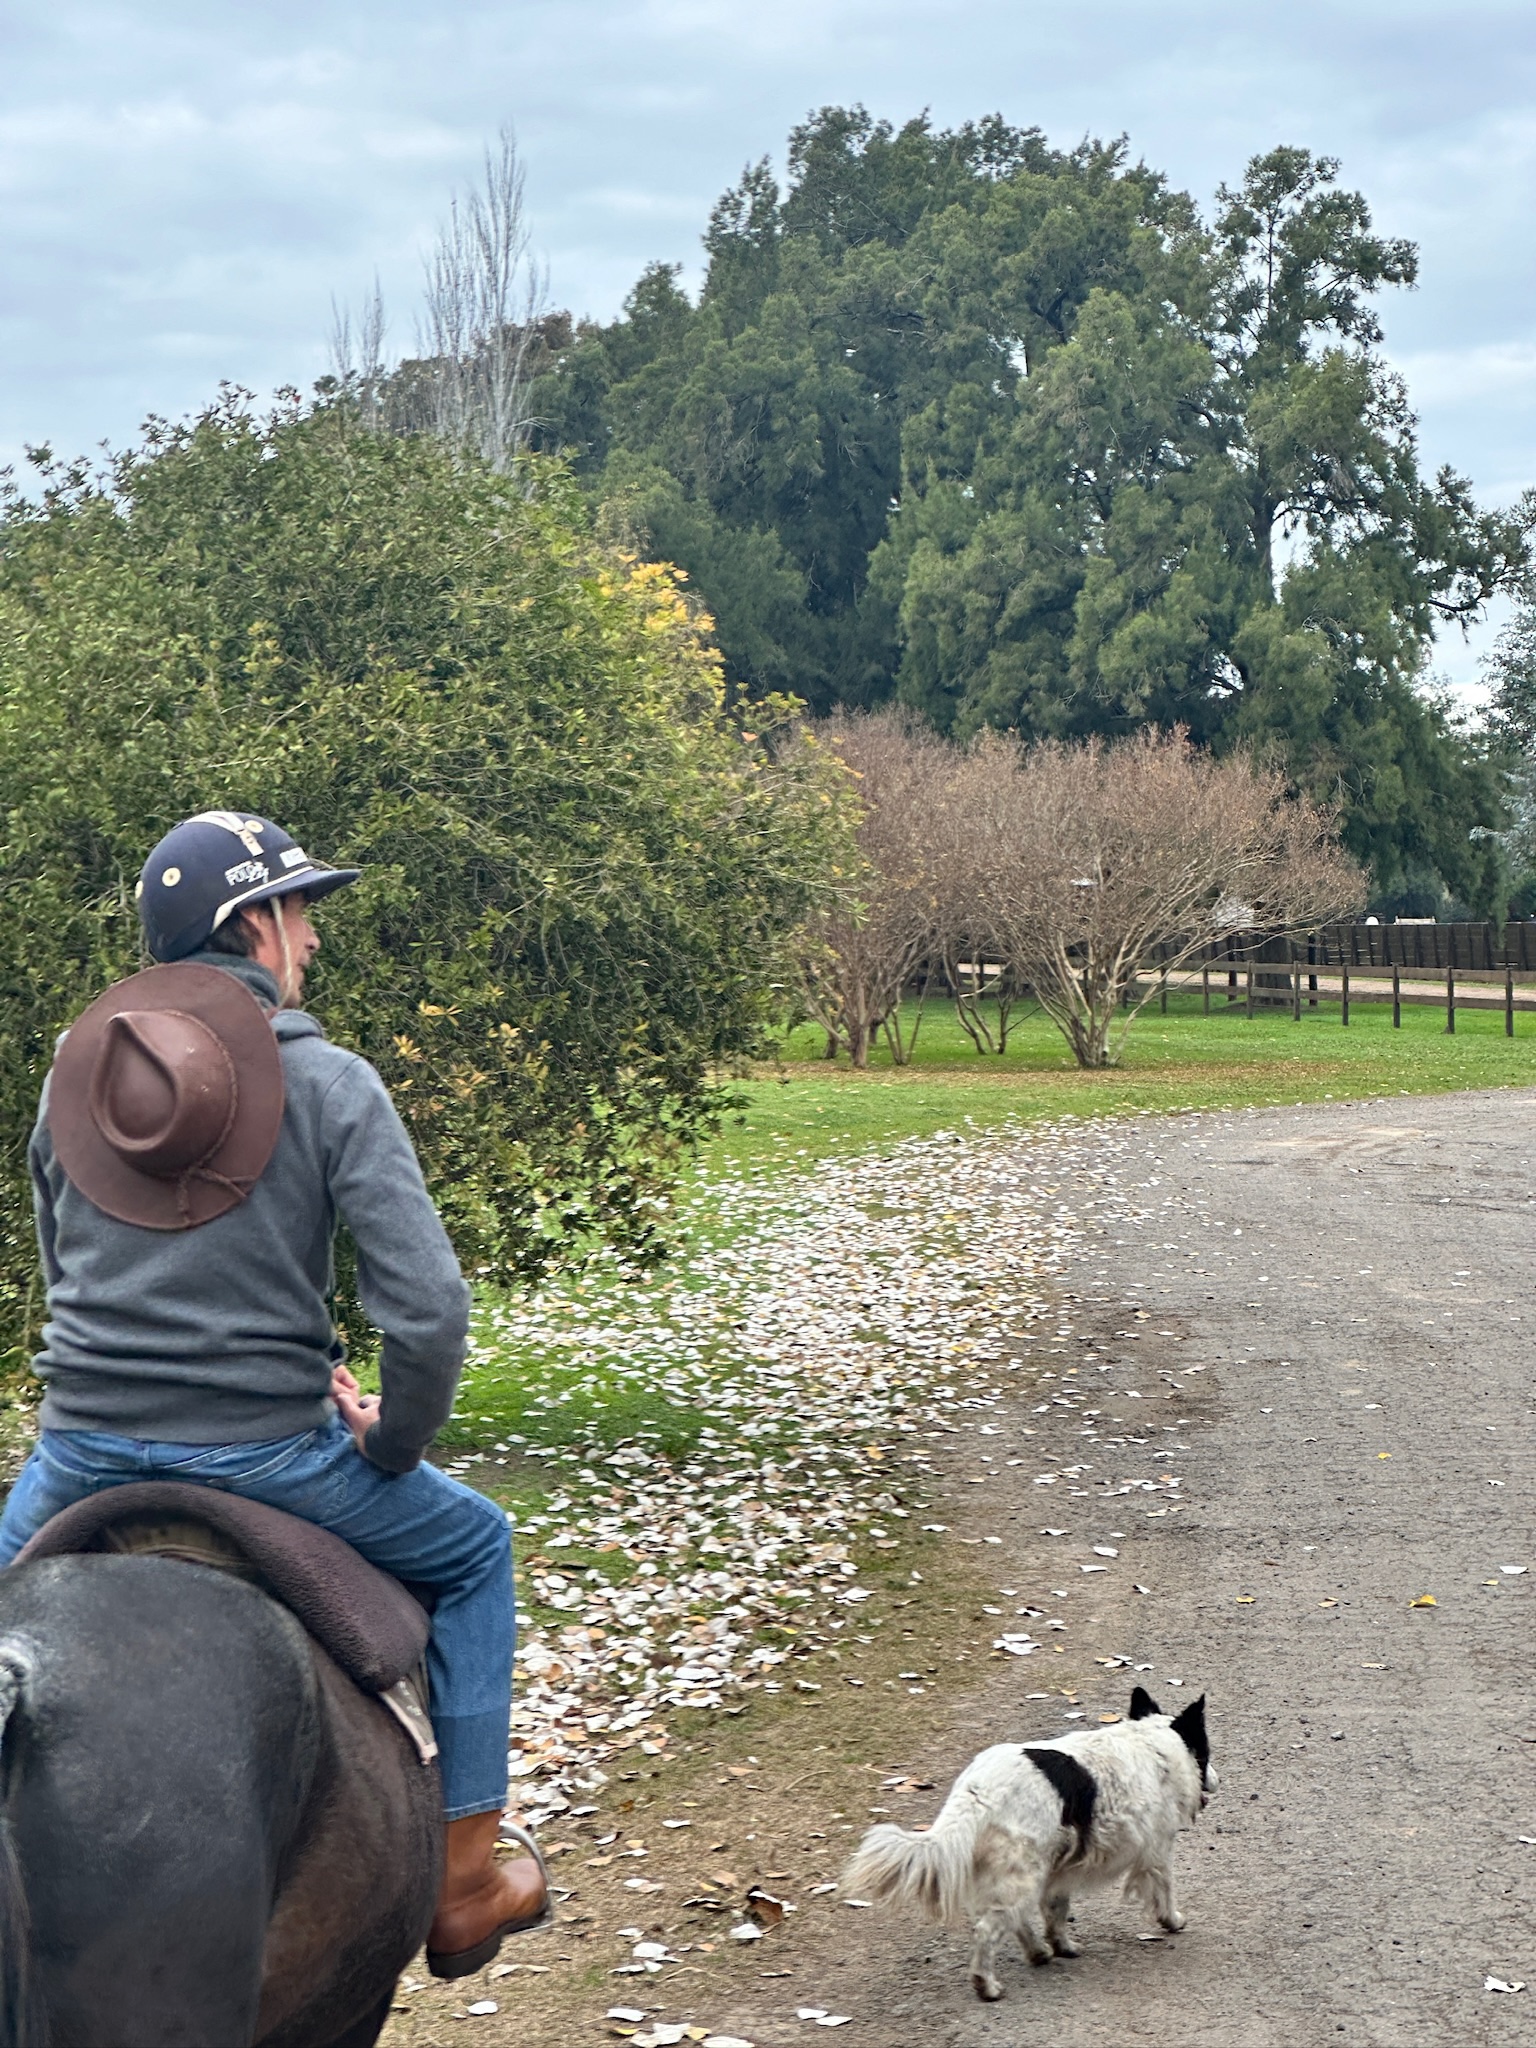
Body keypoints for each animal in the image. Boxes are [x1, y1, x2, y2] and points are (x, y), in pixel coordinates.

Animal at [843, 1695, 1212, 1998]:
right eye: (1206, 1752)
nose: (1217, 1779)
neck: (1152, 1745)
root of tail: (977, 1791)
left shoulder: (1060, 1871)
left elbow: (1056, 1912)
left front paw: (1062, 1945)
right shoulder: (1157, 1851)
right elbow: (1165, 1890)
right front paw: (1172, 1921)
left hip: (1021, 1874)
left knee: (1015, 1920)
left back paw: (1038, 1953)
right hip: (1023, 1875)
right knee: (988, 1930)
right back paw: (987, 1985)